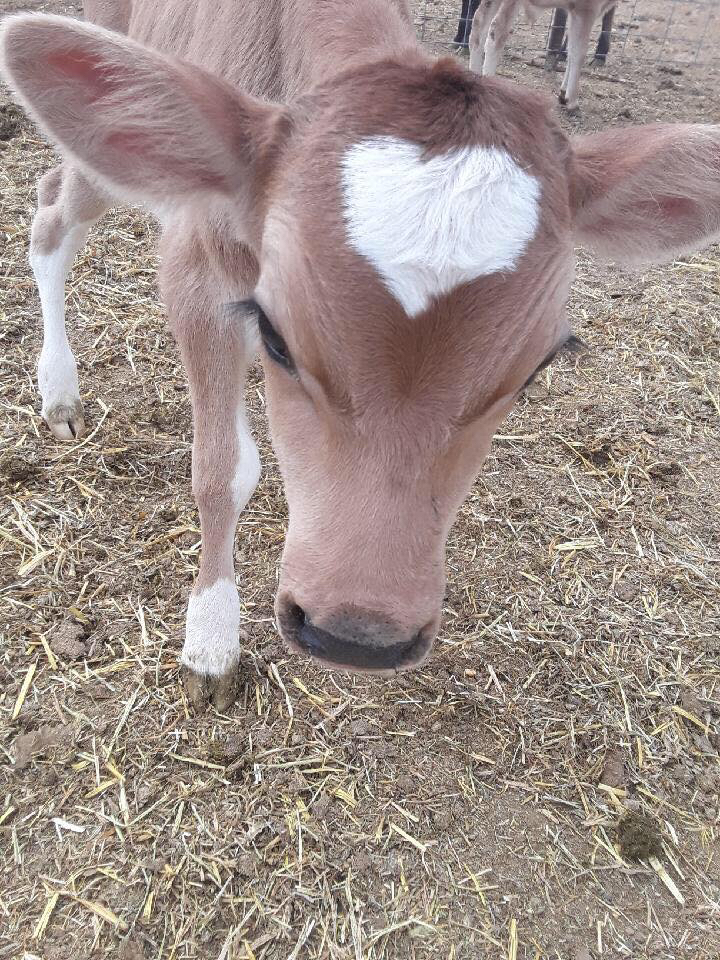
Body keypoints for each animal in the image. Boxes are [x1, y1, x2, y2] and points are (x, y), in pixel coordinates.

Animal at [1, 0, 719, 710]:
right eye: (275, 337)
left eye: (534, 370)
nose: (357, 635)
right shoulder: (196, 266)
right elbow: (220, 469)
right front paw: (209, 643)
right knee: (50, 210)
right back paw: (58, 391)